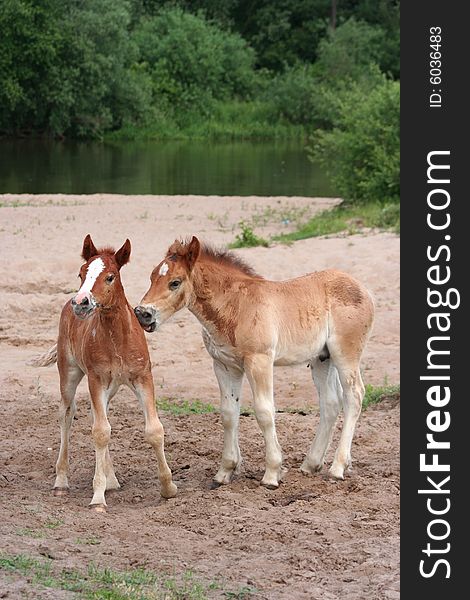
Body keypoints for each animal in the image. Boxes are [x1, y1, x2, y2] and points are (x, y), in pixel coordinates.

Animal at [35, 234, 176, 510]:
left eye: (110, 276)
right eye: (81, 273)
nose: (81, 302)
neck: (117, 338)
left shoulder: (143, 377)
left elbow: (154, 430)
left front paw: (168, 488)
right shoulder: (96, 379)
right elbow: (100, 432)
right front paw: (97, 498)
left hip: (110, 388)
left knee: (99, 418)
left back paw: (111, 480)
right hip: (69, 373)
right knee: (66, 414)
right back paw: (61, 482)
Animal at [135, 237, 374, 490]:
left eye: (175, 282)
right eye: (151, 277)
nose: (142, 313)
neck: (236, 305)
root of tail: (362, 288)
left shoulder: (259, 361)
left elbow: (264, 412)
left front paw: (272, 473)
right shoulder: (225, 366)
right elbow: (229, 413)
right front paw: (224, 471)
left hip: (345, 354)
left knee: (354, 396)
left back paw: (337, 467)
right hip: (322, 359)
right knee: (330, 402)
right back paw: (311, 464)